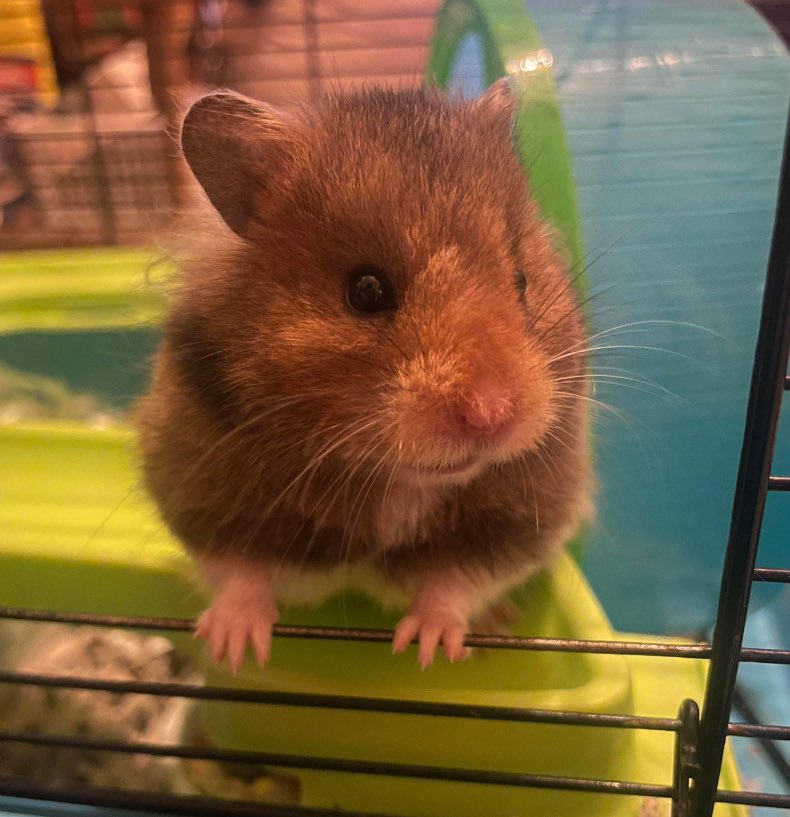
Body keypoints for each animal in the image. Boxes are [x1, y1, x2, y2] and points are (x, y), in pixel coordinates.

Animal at [135, 79, 593, 671]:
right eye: (366, 290)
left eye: (521, 282)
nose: (492, 416)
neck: (398, 474)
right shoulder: (202, 496)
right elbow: (240, 572)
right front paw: (234, 647)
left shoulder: (520, 523)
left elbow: (453, 583)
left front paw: (429, 649)